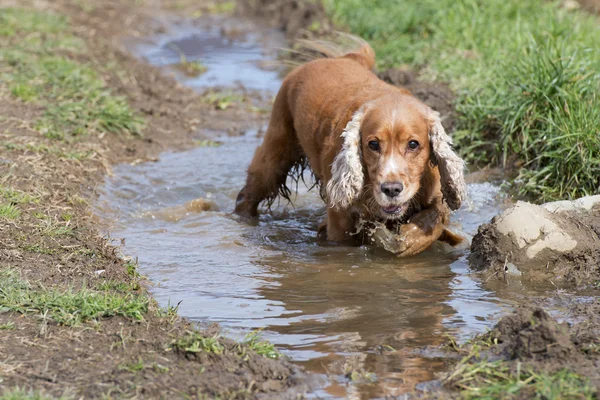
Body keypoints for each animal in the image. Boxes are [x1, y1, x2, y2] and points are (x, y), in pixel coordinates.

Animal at [236, 38, 468, 256]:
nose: (391, 189)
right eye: (373, 144)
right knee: (248, 193)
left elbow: (436, 217)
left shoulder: (435, 194)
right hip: (275, 157)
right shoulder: (340, 221)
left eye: (413, 144)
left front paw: (408, 240)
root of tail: (340, 58)